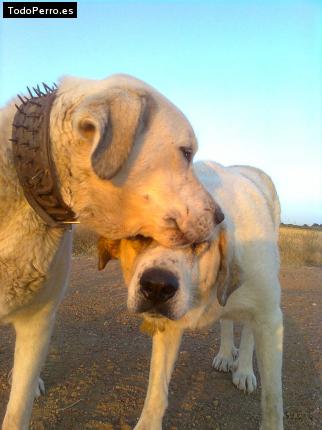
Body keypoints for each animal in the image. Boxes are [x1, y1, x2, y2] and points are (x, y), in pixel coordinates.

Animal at [98, 160, 284, 430]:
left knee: (249, 329)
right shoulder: (166, 326)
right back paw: (226, 354)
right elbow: (156, 391)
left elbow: (272, 399)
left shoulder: (269, 318)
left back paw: (244, 370)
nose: (156, 286)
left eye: (197, 242)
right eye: (141, 236)